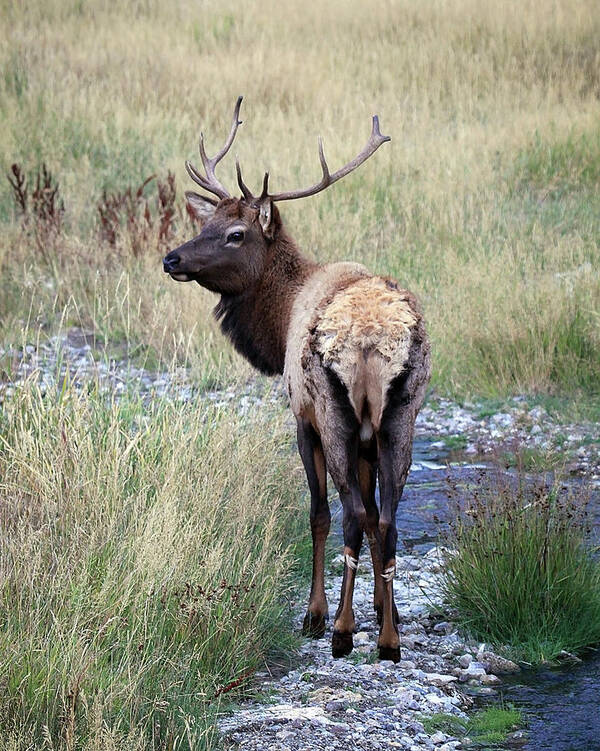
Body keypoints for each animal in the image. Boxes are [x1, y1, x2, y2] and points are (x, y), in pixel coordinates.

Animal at [164, 97, 432, 660]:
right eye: (206, 222)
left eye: (236, 234)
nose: (171, 257)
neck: (281, 316)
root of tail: (371, 340)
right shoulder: (369, 438)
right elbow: (375, 520)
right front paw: (388, 612)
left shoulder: (301, 415)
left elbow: (320, 514)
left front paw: (317, 614)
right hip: (402, 415)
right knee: (387, 518)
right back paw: (390, 641)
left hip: (333, 413)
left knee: (347, 514)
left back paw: (341, 632)